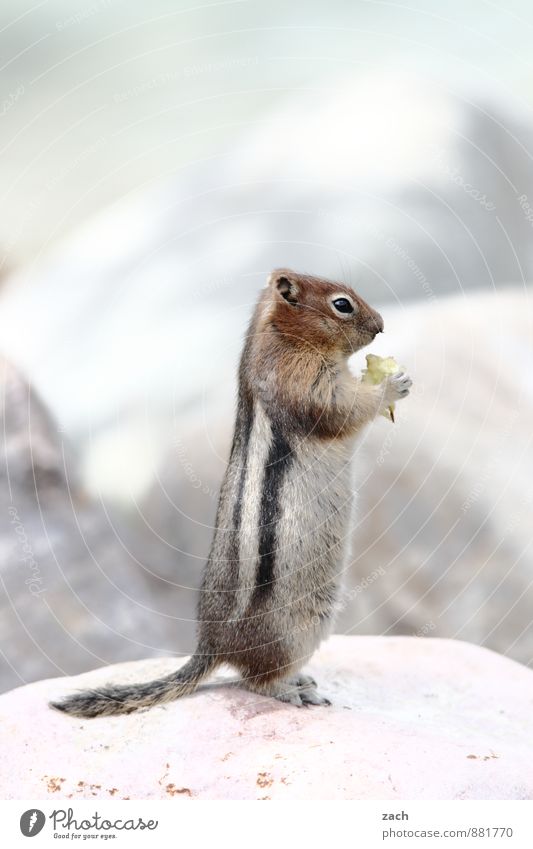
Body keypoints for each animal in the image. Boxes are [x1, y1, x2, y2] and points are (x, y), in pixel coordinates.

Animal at [52, 270, 410, 716]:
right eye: (342, 304)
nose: (381, 326)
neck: (281, 335)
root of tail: (211, 646)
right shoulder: (299, 379)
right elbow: (338, 409)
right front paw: (391, 385)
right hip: (294, 631)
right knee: (255, 679)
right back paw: (292, 689)